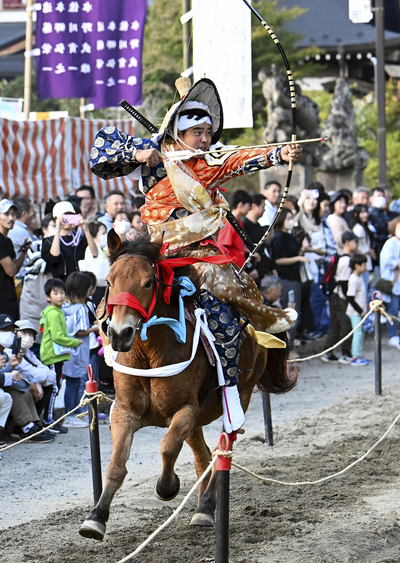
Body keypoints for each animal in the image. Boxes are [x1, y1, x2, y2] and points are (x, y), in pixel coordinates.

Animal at [79, 232, 296, 540]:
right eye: (109, 281)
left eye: (148, 282)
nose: (120, 333)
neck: (150, 355)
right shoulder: (124, 411)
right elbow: (116, 464)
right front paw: (96, 517)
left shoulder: (185, 410)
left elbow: (168, 447)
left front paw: (167, 487)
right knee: (202, 457)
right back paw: (205, 504)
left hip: (240, 393)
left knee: (221, 449)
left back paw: (205, 506)